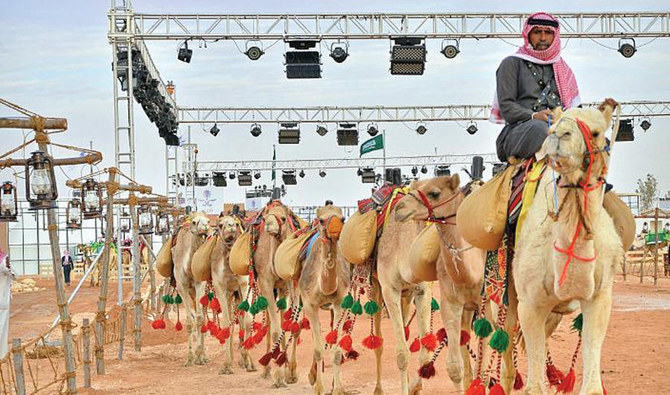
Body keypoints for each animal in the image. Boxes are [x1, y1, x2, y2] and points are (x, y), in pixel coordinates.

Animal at [172, 212, 211, 366]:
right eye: (194, 222)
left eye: (208, 220)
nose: (205, 227)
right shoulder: (181, 286)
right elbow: (189, 322)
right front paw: (189, 358)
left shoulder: (200, 284)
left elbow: (200, 319)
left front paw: (199, 355)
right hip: (191, 293)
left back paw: (203, 356)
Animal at [211, 215, 256, 376]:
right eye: (220, 225)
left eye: (236, 223)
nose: (230, 226)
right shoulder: (220, 287)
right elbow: (226, 324)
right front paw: (226, 365)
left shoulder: (244, 283)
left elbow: (248, 321)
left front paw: (249, 362)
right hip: (231, 294)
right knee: (231, 319)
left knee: (242, 319)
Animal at [300, 204, 352, 395]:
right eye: (322, 220)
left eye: (342, 218)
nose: (336, 230)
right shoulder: (309, 304)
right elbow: (317, 349)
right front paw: (320, 388)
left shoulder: (339, 303)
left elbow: (336, 349)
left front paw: (338, 388)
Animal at [394, 176, 488, 392]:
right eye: (416, 187)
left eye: (434, 193)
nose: (399, 208)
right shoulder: (450, 302)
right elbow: (455, 367)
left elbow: (485, 367)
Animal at [516, 100, 624, 394]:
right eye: (552, 125)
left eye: (598, 133)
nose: (558, 135)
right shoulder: (528, 303)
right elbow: (534, 386)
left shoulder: (600, 298)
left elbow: (593, 384)